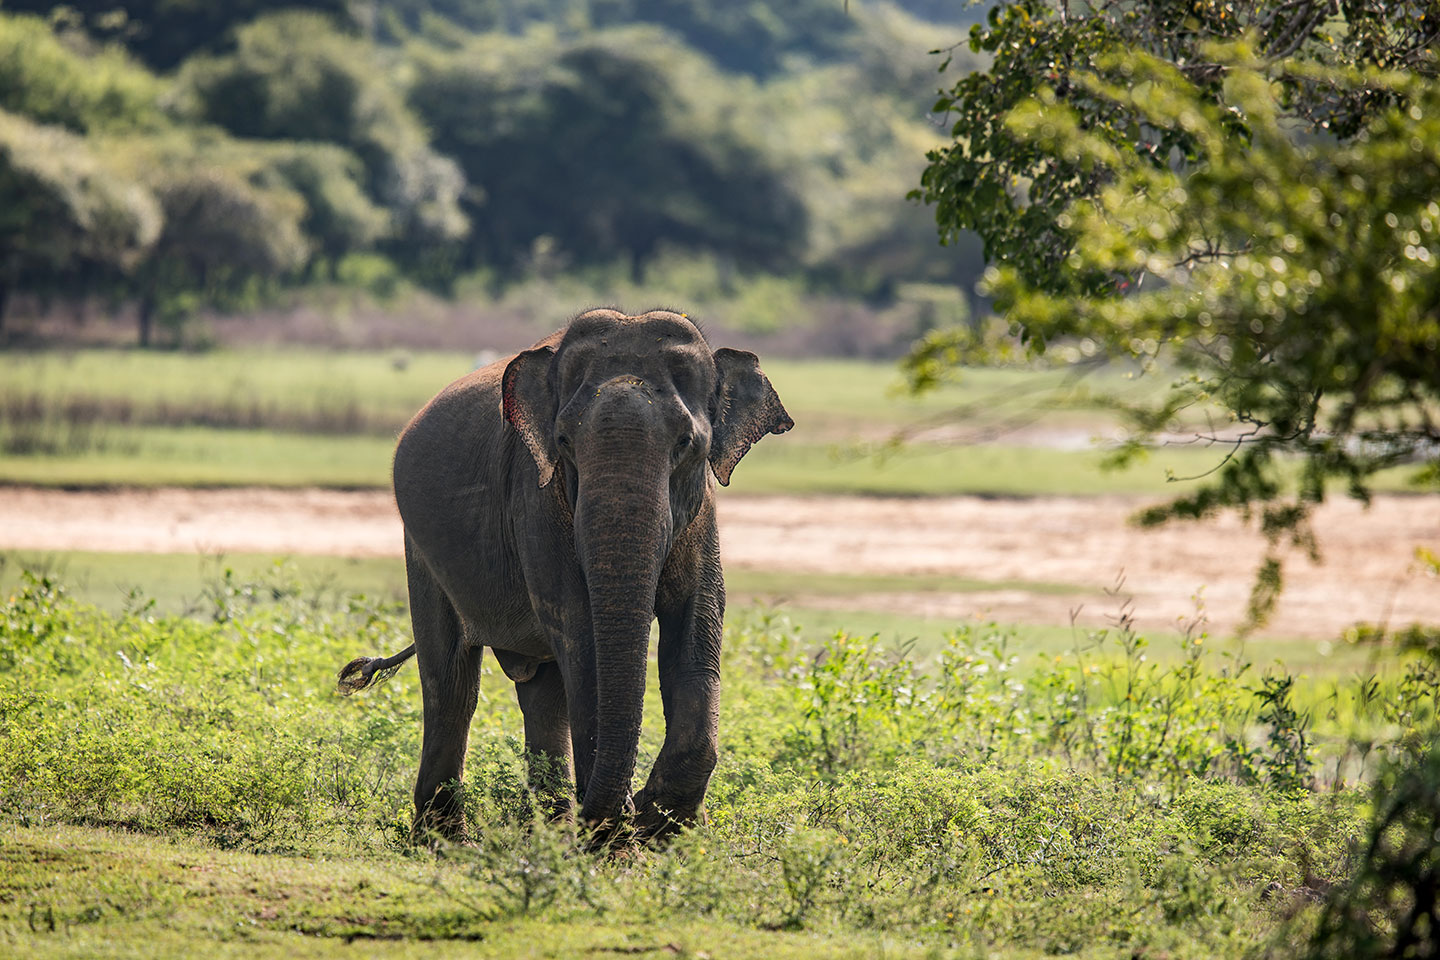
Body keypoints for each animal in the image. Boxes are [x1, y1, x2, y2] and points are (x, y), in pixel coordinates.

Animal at [338, 308, 792, 845]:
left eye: (687, 443)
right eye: (564, 443)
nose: (624, 812)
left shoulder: (702, 515)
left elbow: (695, 627)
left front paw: (663, 830)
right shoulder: (536, 502)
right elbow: (581, 632)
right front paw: (619, 842)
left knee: (541, 692)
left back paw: (548, 833)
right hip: (421, 553)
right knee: (451, 684)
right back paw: (446, 842)